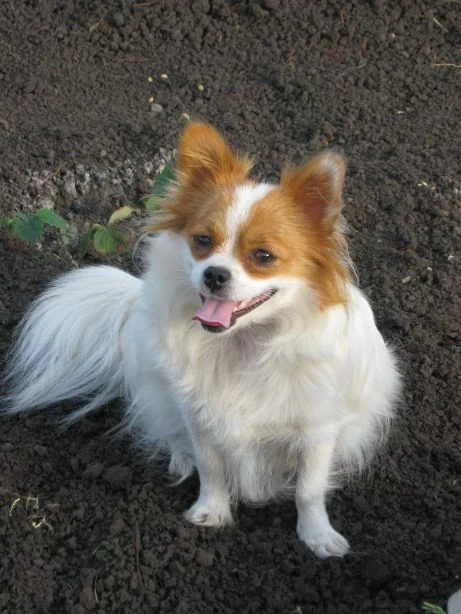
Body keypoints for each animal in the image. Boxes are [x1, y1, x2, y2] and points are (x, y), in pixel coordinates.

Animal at [3, 122, 401, 558]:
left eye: (263, 256)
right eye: (202, 241)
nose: (214, 274)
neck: (242, 343)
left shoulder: (317, 429)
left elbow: (309, 489)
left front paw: (316, 535)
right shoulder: (198, 415)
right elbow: (211, 467)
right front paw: (211, 512)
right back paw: (179, 457)